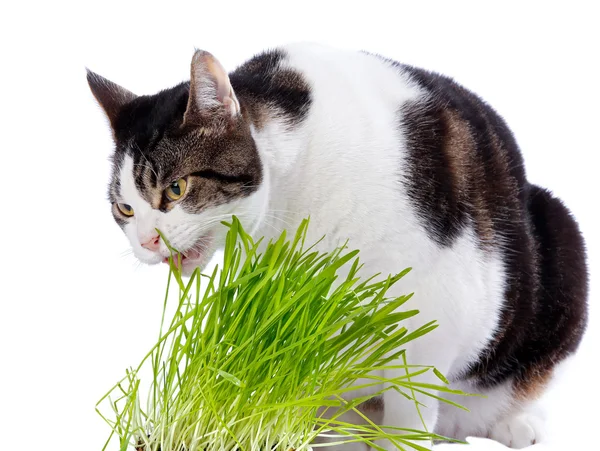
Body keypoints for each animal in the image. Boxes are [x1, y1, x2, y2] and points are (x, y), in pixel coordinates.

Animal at [88, 41, 584, 448]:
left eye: (175, 189)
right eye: (124, 209)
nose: (147, 241)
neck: (290, 189)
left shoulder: (436, 307)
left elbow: (410, 406)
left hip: (562, 235)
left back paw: (513, 425)